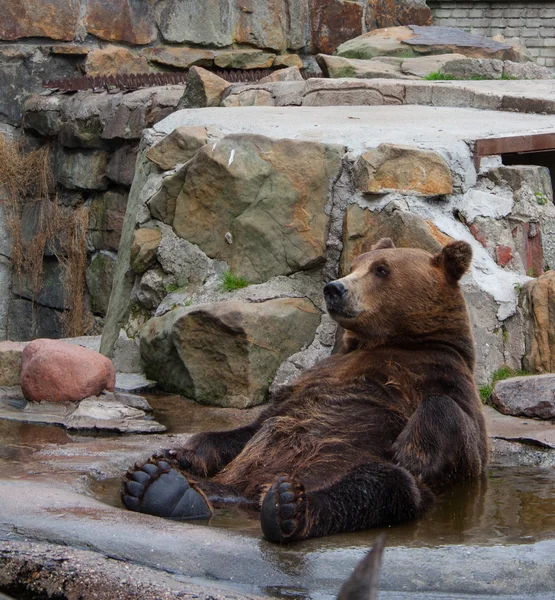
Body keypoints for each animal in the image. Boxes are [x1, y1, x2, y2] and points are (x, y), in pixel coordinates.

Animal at [121, 238, 486, 544]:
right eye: (354, 265)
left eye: (381, 269)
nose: (334, 288)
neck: (388, 341)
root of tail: (243, 497)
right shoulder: (317, 377)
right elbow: (253, 426)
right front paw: (181, 450)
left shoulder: (437, 376)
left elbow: (461, 437)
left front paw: (412, 451)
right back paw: (159, 481)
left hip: (353, 472)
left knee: (385, 485)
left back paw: (285, 507)